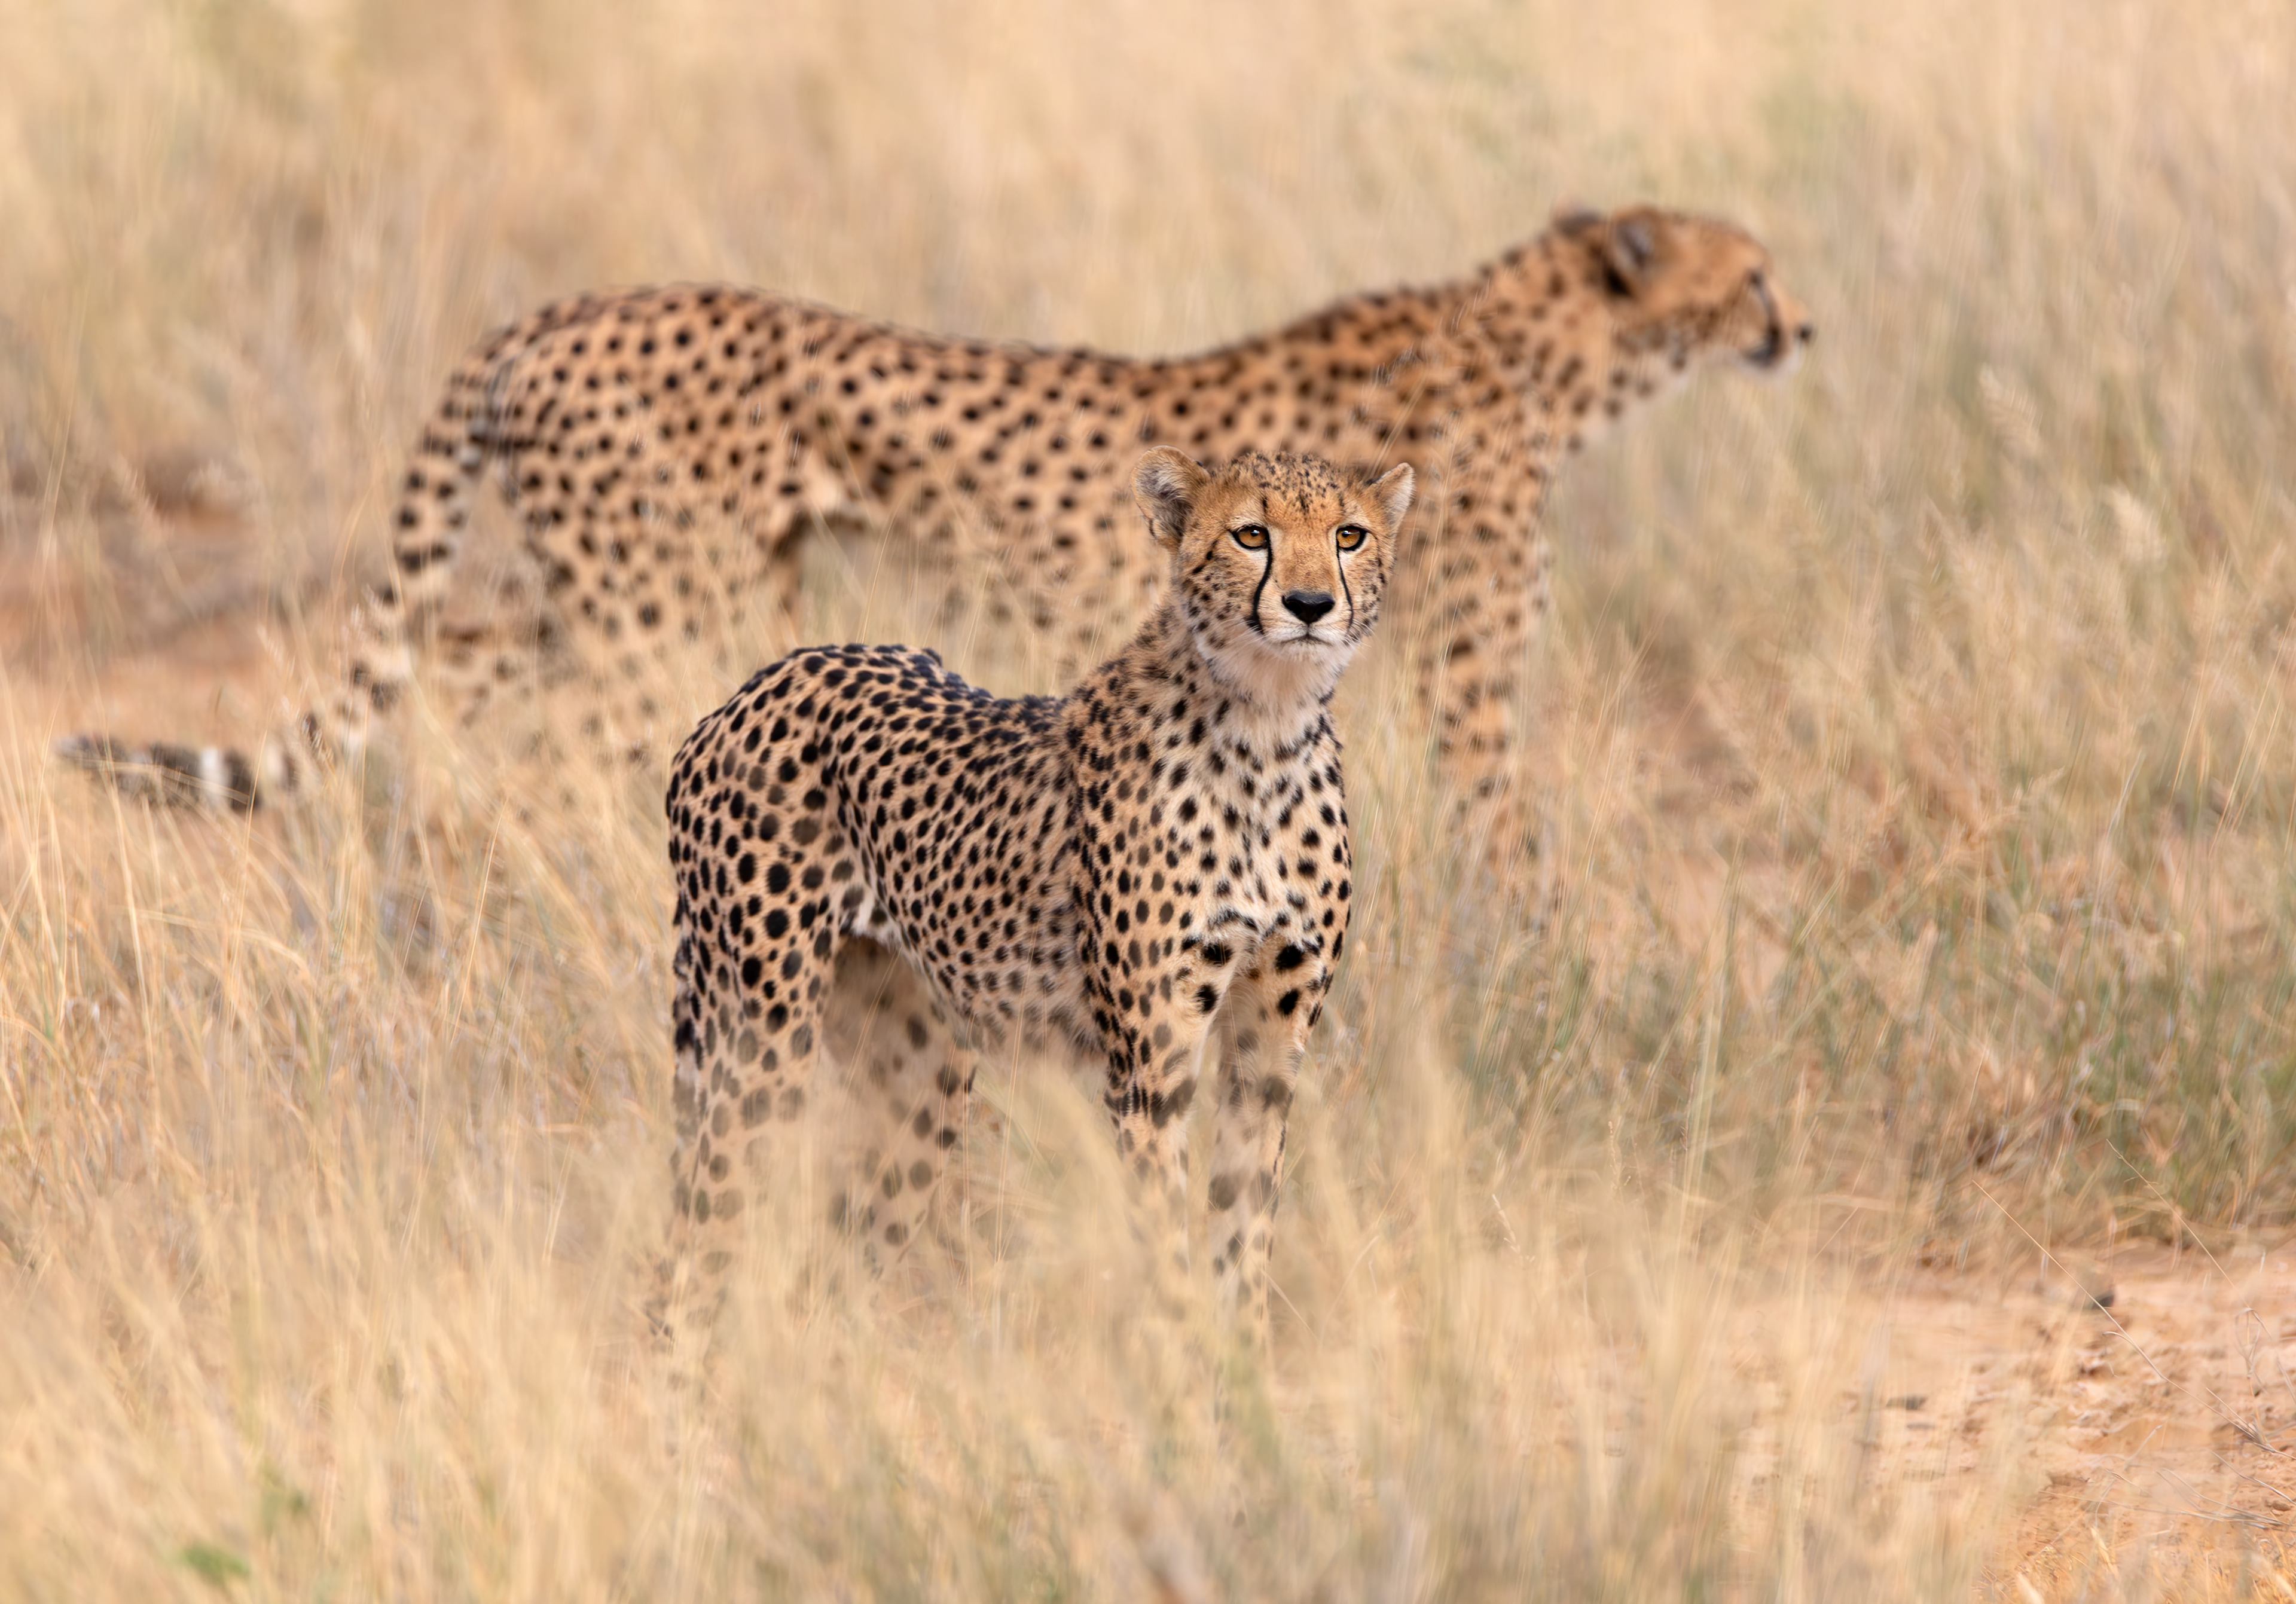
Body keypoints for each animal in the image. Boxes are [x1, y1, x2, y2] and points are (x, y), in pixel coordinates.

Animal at [57, 202, 1811, 814]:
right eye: (1752, 270)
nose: (1801, 324)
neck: (1549, 338)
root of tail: (556, 310)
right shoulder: (1463, 665)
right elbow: (1504, 817)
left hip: (637, 599)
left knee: (459, 693)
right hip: (656, 610)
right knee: (550, 744)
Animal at [657, 446, 1413, 1345]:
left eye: (1349, 535)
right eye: (1251, 534)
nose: (1309, 605)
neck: (1266, 726)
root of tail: (760, 682)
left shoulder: (1268, 1048)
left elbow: (1242, 1227)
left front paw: (1246, 1360)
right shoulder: (1149, 1065)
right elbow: (1166, 1244)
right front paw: (1184, 1361)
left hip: (915, 1072)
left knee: (851, 1246)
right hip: (759, 1046)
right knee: (698, 1241)